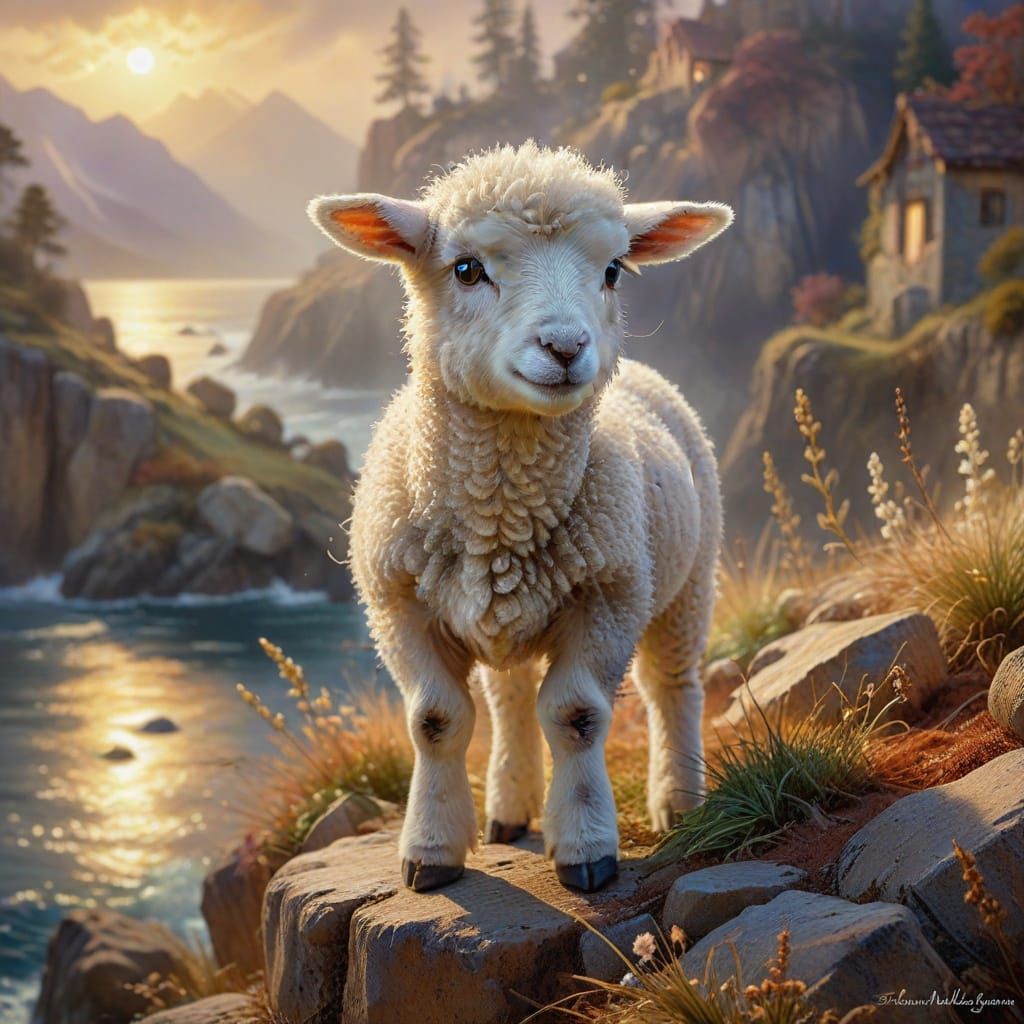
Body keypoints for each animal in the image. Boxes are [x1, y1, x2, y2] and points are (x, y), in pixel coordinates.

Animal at [309, 142, 731, 893]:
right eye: (466, 268)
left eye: (613, 270)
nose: (565, 347)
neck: (501, 518)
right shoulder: (397, 605)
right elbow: (436, 721)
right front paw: (431, 851)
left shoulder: (610, 600)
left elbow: (577, 715)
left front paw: (587, 848)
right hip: (505, 615)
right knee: (507, 697)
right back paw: (509, 805)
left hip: (687, 580)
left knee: (672, 685)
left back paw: (680, 799)